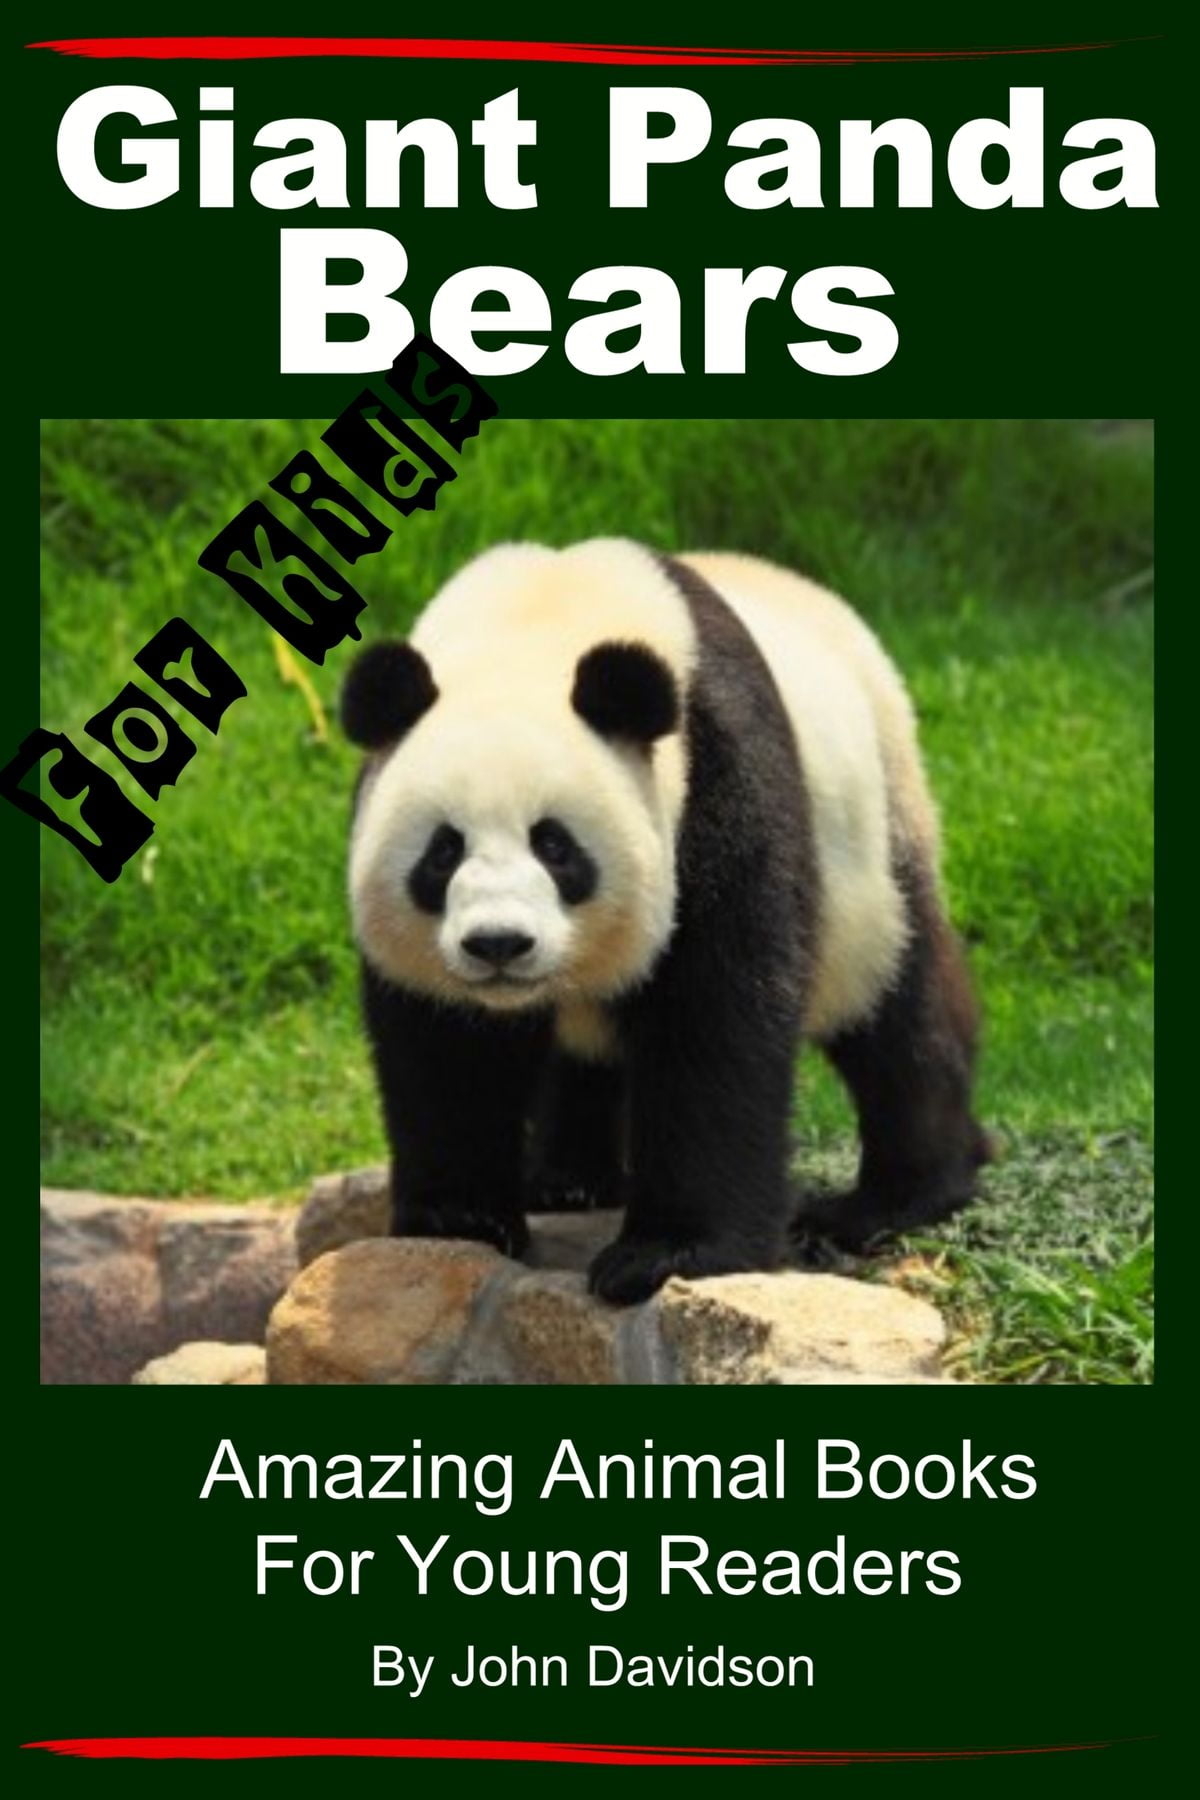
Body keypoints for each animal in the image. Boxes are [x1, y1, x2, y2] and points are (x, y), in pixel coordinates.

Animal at [341, 538, 989, 1305]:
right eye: (443, 852)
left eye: (555, 845)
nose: (499, 944)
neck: (539, 622)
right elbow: (447, 1045)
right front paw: (459, 1218)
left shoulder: (719, 775)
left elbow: (715, 1015)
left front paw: (667, 1254)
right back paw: (568, 1180)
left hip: (876, 842)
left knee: (899, 1013)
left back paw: (894, 1198)